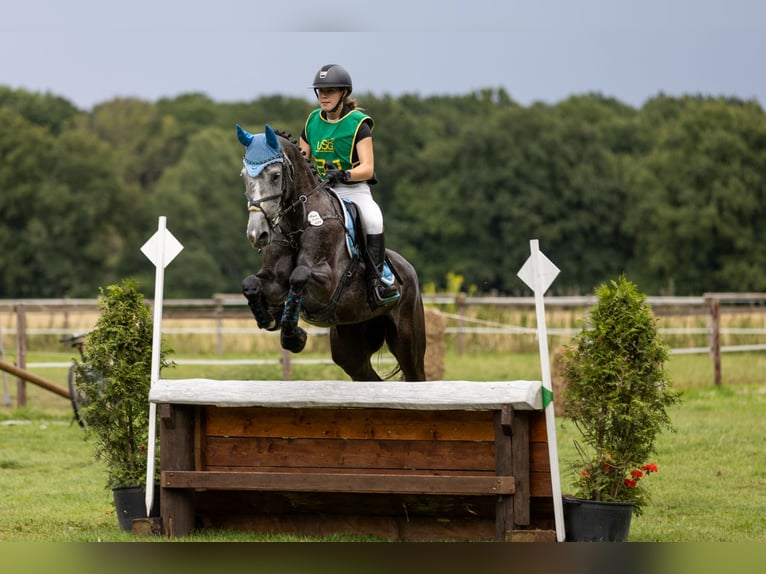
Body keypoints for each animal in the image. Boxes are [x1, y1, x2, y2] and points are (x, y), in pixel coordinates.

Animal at [237, 124, 426, 381]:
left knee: (416, 372)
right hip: (351, 341)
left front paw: (293, 336)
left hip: (407, 342)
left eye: (275, 175)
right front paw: (269, 317)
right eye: (245, 176)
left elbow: (299, 275)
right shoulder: (273, 282)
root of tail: (409, 269)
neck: (298, 223)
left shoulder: (328, 286)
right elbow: (251, 283)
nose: (257, 234)